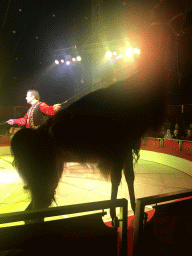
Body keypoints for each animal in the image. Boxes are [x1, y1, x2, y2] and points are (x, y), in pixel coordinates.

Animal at [10, 14, 176, 226]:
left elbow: (128, 178)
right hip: (45, 176)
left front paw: (133, 209)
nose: (168, 35)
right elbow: (117, 180)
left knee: (34, 211)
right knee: (35, 210)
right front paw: (115, 214)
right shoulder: (119, 149)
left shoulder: (126, 149)